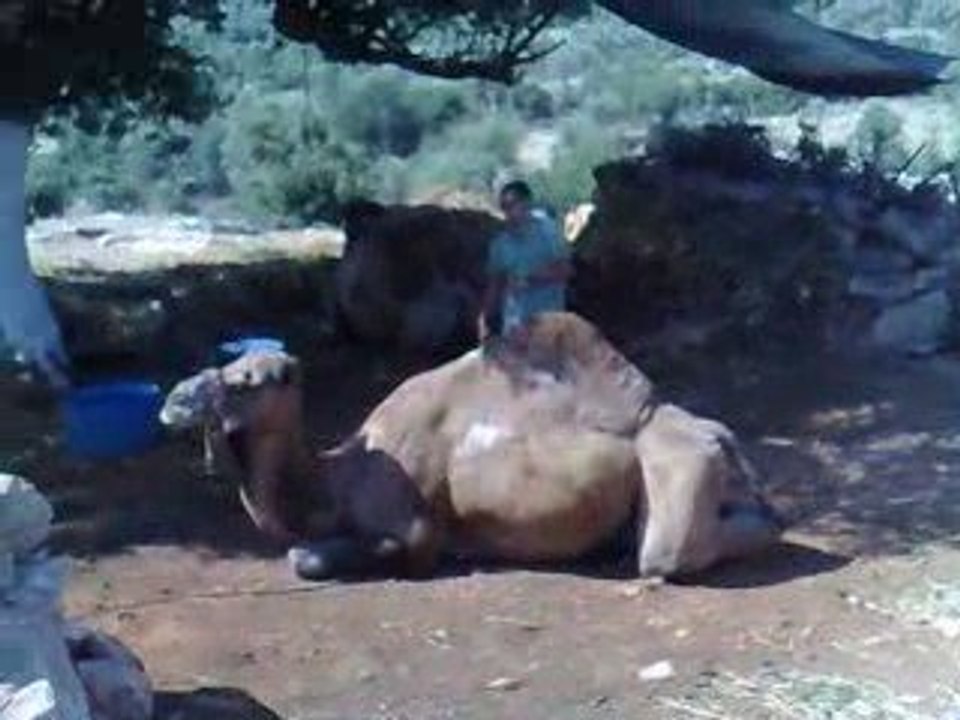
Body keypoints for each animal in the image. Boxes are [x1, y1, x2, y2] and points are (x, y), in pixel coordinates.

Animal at [161, 312, 783, 580]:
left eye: (248, 380)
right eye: (229, 365)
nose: (172, 400)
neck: (340, 477)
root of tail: (719, 437)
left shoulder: (414, 524)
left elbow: (320, 556)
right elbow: (300, 553)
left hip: (677, 471)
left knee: (668, 554)